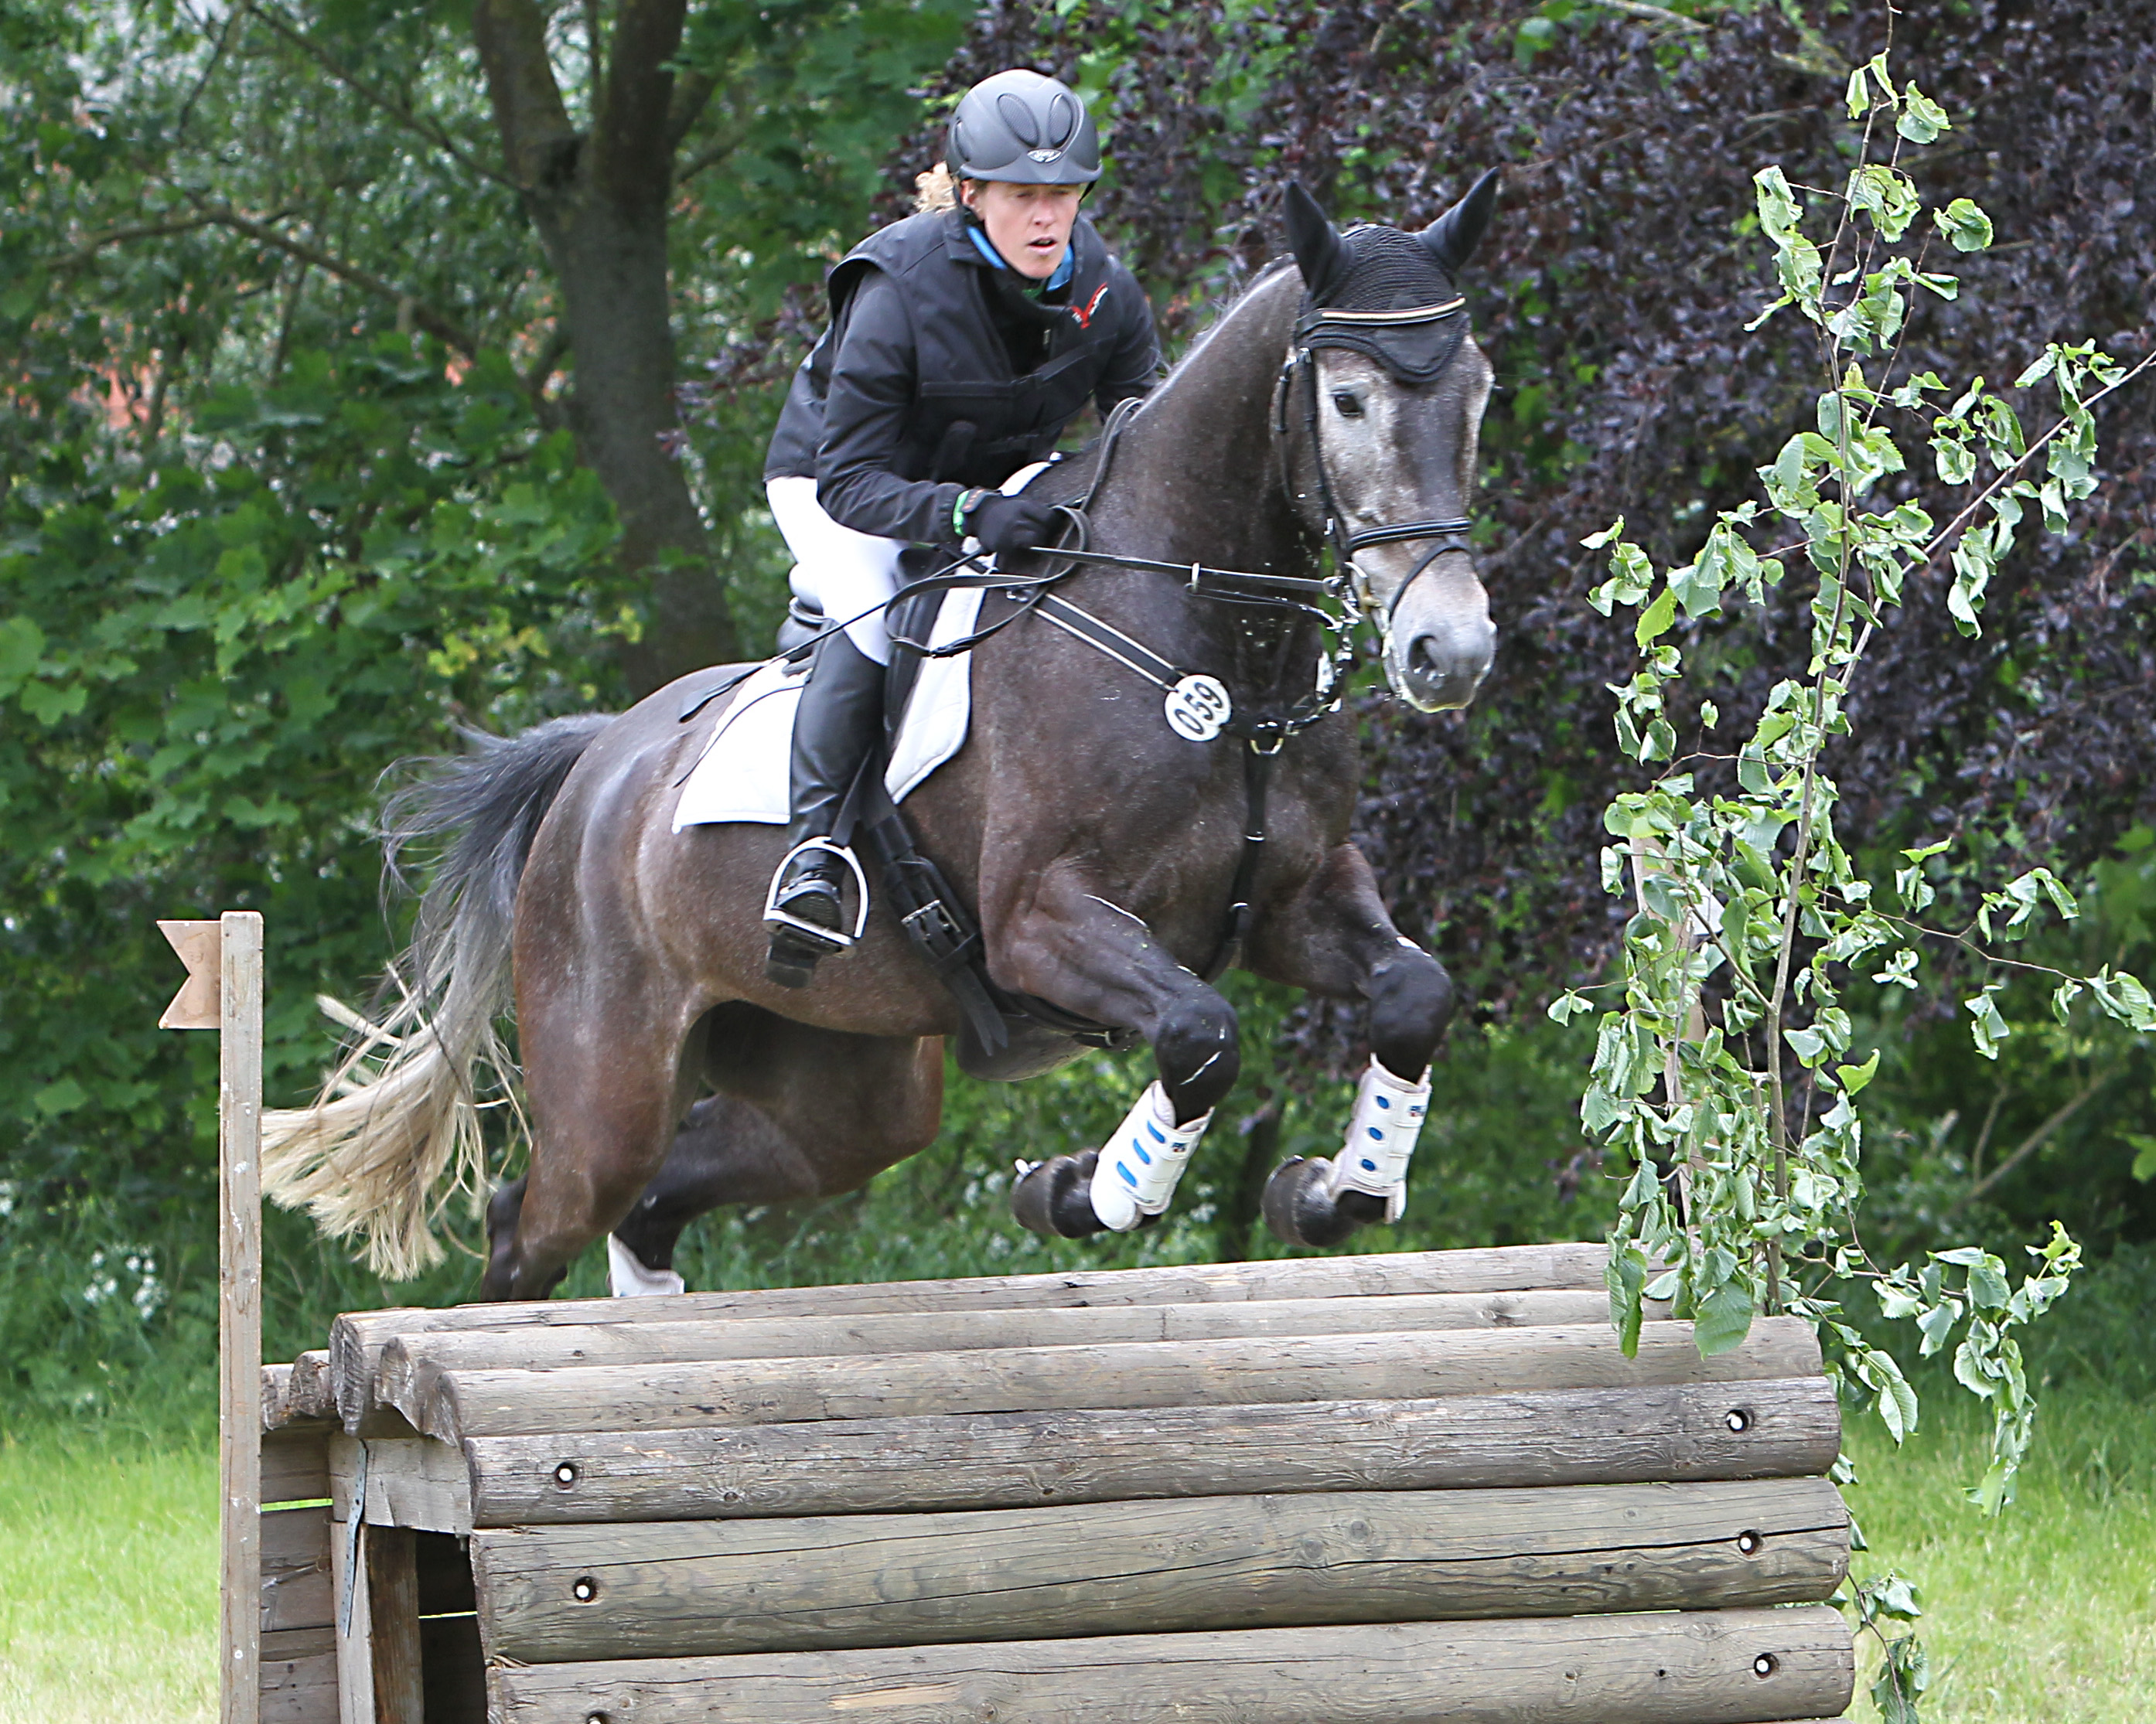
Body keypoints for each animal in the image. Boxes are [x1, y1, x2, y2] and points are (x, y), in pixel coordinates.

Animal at [261, 182, 1500, 1301]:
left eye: (1478, 390)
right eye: (1348, 399)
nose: (1451, 647)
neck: (1208, 649)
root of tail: (596, 768)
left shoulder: (1293, 899)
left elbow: (1413, 994)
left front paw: (1334, 1188)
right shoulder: (1040, 924)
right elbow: (1202, 1032)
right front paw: (1085, 1190)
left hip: (843, 1089)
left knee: (666, 1197)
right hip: (609, 1080)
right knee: (535, 1215)